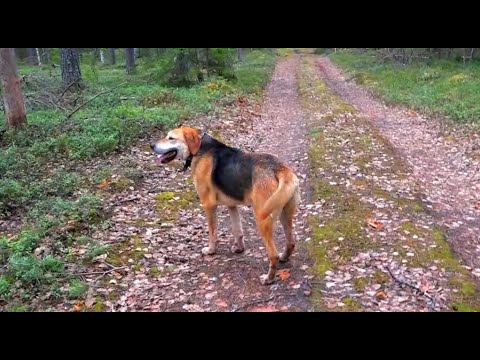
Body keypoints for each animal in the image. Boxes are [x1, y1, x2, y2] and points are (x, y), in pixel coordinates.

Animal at [150, 126, 300, 284]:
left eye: (171, 138)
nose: (151, 145)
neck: (200, 148)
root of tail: (279, 168)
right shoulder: (232, 206)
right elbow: (237, 231)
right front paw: (239, 249)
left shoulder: (208, 205)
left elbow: (212, 234)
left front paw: (211, 251)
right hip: (285, 214)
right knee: (290, 243)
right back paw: (284, 257)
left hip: (263, 219)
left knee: (273, 255)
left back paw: (268, 278)